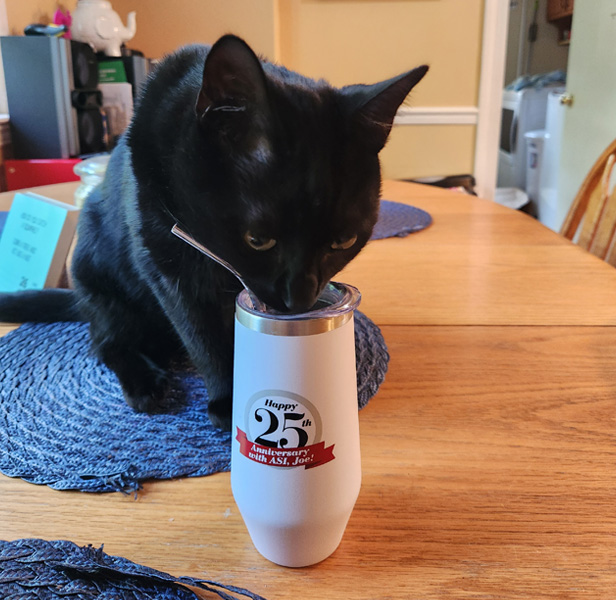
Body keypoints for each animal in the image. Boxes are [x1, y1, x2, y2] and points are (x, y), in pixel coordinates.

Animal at [0, 35, 426, 428]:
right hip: (98, 277)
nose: (299, 299)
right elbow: (202, 334)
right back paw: (147, 383)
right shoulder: (168, 269)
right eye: (258, 240)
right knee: (107, 341)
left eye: (344, 241)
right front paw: (230, 397)